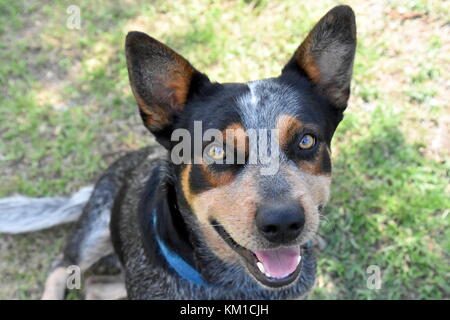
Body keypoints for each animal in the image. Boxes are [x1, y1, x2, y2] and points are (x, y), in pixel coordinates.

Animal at [1, 5, 356, 300]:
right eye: (217, 150)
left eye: (306, 141)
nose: (283, 223)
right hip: (95, 227)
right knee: (62, 265)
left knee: (94, 285)